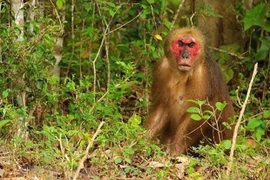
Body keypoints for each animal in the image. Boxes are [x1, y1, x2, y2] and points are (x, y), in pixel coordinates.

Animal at [144, 27, 235, 155]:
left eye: (191, 45)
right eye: (180, 44)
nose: (185, 56)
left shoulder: (202, 75)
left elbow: (200, 112)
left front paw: (176, 148)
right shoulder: (162, 68)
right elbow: (161, 107)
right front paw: (140, 139)